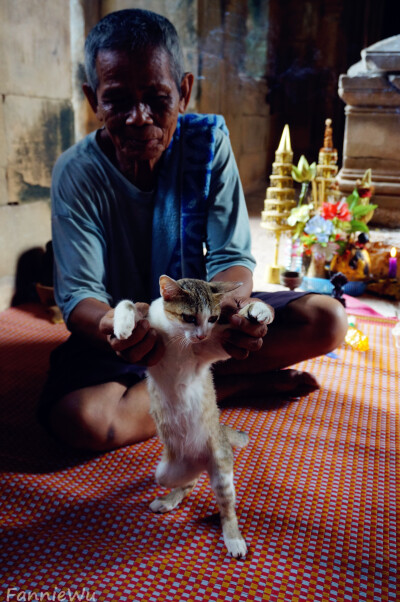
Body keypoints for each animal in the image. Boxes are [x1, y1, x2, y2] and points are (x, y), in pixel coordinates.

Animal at [114, 274, 274, 556]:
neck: (178, 337)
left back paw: (234, 539)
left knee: (226, 508)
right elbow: (128, 303)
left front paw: (259, 310)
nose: (200, 335)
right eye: (189, 317)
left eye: (213, 318)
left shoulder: (212, 346)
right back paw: (168, 500)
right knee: (186, 482)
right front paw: (123, 325)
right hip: (167, 472)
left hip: (221, 466)